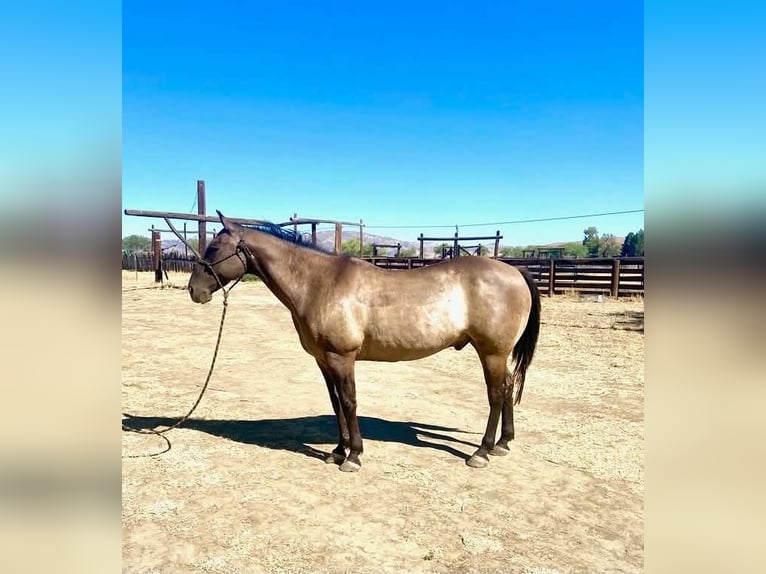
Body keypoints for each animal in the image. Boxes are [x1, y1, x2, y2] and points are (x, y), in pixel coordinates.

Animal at [188, 211, 541, 472]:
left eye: (214, 249)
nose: (194, 290)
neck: (318, 283)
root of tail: (514, 271)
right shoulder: (324, 360)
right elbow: (335, 404)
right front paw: (337, 451)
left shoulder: (342, 357)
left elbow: (349, 402)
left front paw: (354, 456)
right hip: (499, 354)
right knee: (508, 387)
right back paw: (503, 444)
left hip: (492, 352)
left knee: (496, 394)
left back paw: (482, 452)